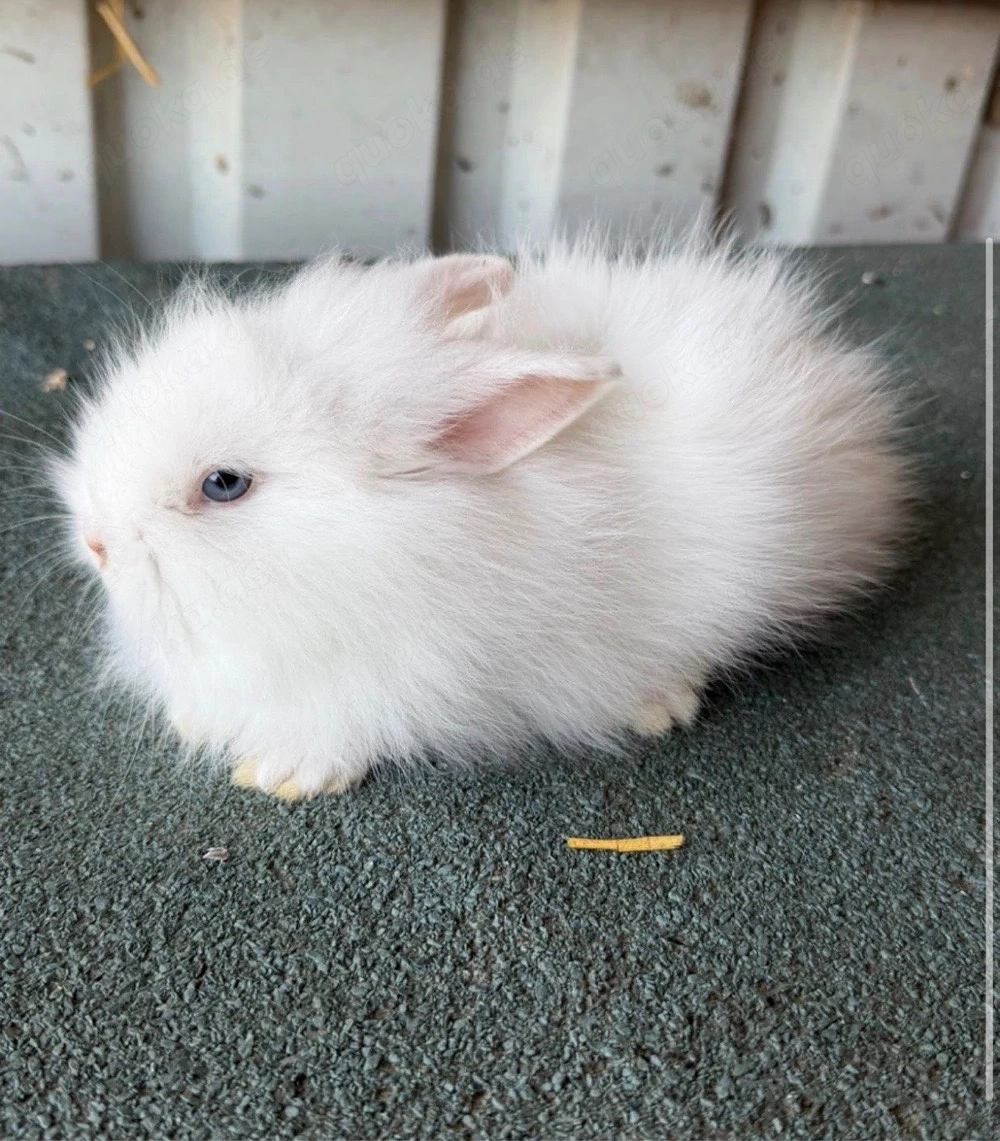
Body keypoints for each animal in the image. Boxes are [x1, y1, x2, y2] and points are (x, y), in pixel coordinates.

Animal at [52, 237, 911, 800]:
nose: (95, 542)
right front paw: (194, 723)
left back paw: (657, 702)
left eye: (224, 484)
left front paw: (283, 773)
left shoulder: (399, 675)